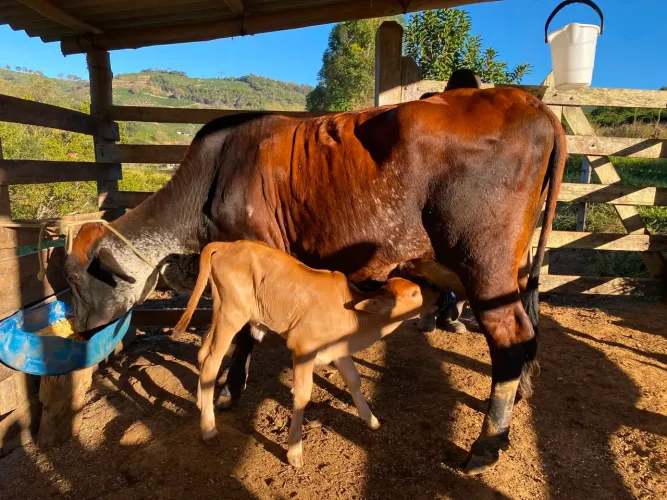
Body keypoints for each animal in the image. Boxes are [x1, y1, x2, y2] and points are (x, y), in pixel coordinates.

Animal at [174, 240, 441, 467]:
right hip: (233, 313)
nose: (438, 295)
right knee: (211, 361)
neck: (357, 318)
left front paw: (371, 420)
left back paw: (201, 403)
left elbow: (354, 380)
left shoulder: (339, 351)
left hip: (220, 310)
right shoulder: (303, 349)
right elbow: (302, 395)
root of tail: (227, 244)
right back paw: (209, 429)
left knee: (203, 349)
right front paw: (294, 452)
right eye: (415, 293)